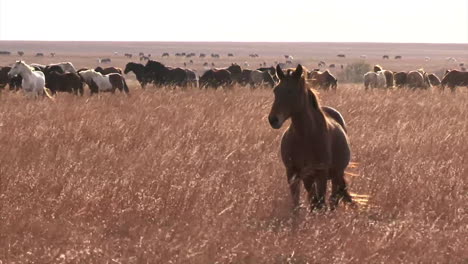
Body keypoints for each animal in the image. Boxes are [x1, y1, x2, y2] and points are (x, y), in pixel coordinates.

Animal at [268, 64, 352, 212]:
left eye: (291, 91)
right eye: (275, 90)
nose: (273, 120)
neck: (305, 136)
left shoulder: (321, 174)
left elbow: (320, 202)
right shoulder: (293, 173)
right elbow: (298, 204)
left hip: (335, 175)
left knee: (333, 199)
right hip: (310, 178)